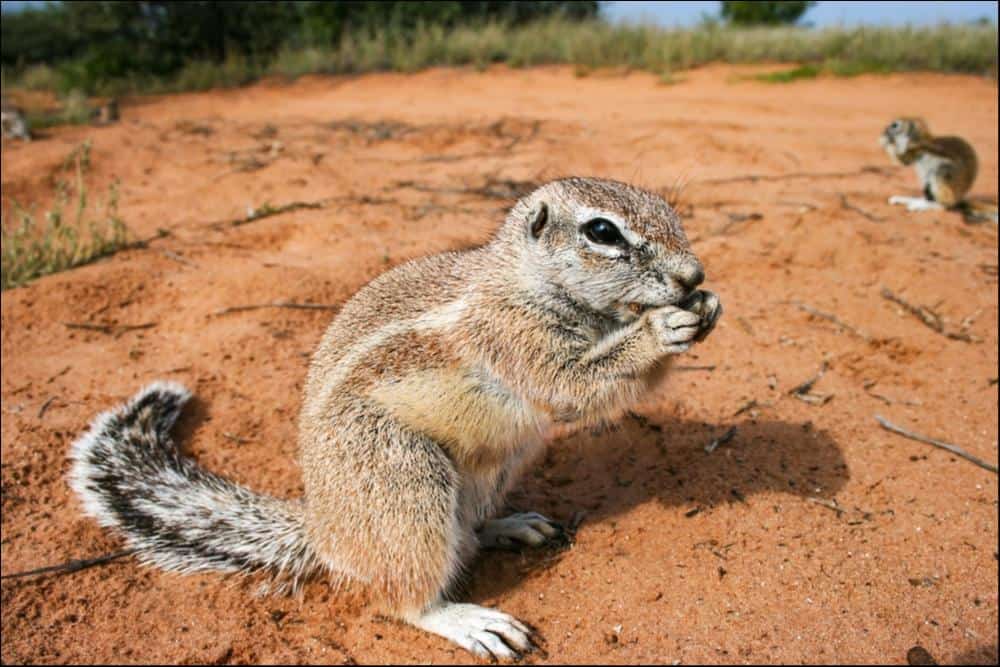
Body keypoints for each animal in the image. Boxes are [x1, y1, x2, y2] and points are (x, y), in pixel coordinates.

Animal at [72, 177, 728, 664]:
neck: (525, 280)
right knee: (403, 596)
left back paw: (507, 526)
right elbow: (574, 387)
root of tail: (324, 532)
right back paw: (465, 620)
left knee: (464, 534)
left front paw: (707, 308)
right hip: (404, 476)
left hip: (490, 468)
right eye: (602, 231)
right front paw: (663, 327)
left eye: (670, 209)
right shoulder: (511, 335)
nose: (693, 276)